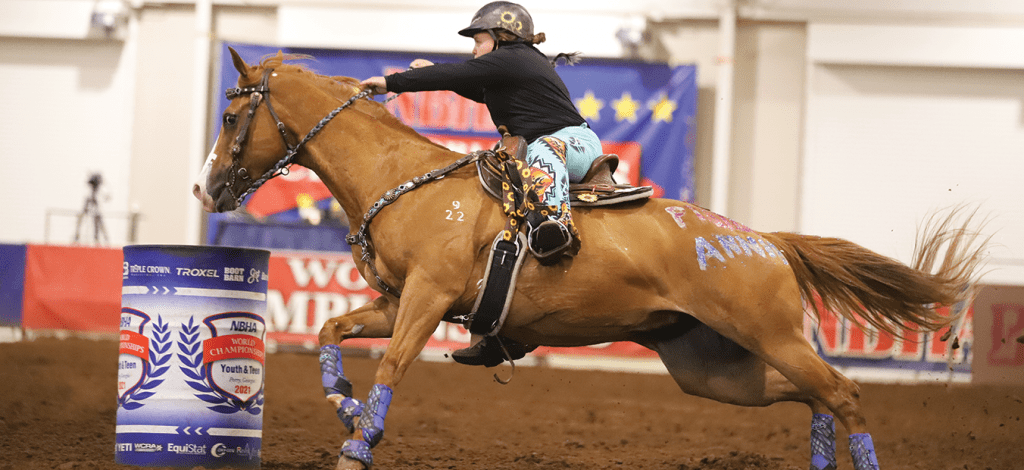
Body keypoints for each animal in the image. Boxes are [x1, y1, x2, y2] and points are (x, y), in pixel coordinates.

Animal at [193, 48, 988, 470]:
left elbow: (391, 364)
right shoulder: (396, 301)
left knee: (843, 393)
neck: (407, 179)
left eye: (232, 115)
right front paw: (343, 402)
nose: (206, 188)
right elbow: (331, 332)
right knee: (815, 396)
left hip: (769, 335)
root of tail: (764, 241)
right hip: (711, 365)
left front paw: (361, 441)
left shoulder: (425, 298)